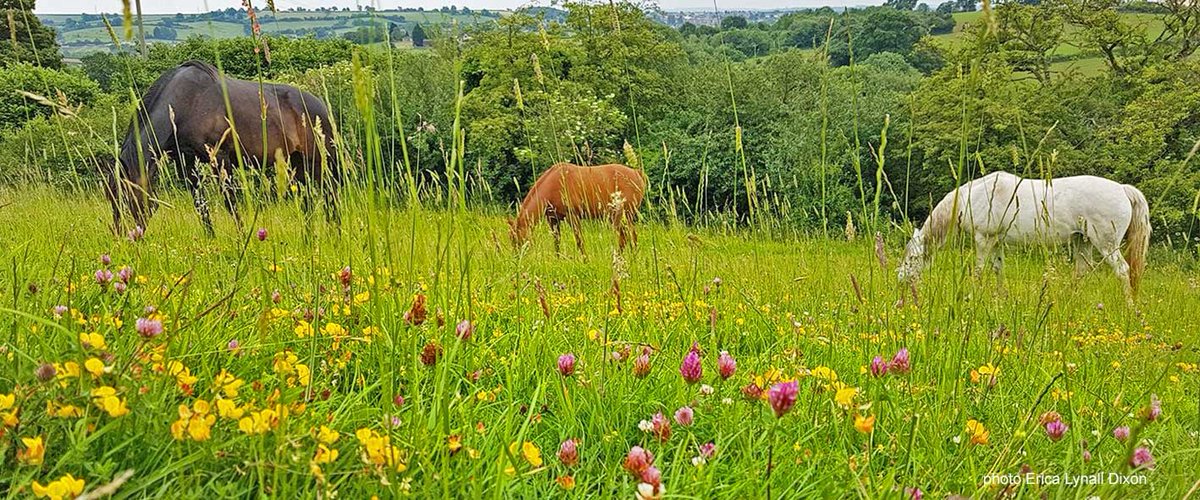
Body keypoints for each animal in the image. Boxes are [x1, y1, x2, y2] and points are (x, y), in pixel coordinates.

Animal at [104, 60, 339, 236]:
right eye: (111, 200)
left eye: (128, 199)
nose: (124, 239)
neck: (185, 104)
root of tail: (321, 107)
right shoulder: (187, 163)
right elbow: (200, 205)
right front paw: (211, 239)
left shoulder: (220, 158)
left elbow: (230, 203)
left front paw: (243, 238)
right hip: (296, 163)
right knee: (308, 199)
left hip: (319, 160)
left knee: (331, 194)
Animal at [509, 163, 646, 255]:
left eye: (518, 239)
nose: (517, 257)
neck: (554, 183)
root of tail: (637, 173)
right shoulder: (553, 219)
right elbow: (556, 241)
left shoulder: (573, 216)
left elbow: (579, 240)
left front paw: (585, 260)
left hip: (623, 214)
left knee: (628, 236)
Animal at [897, 171, 1151, 297]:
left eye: (911, 258)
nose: (900, 279)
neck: (973, 196)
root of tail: (1122, 189)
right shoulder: (996, 242)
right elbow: (998, 270)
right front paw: (1001, 299)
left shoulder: (983, 239)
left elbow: (978, 271)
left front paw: (972, 296)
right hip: (1084, 241)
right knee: (1081, 272)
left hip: (1106, 244)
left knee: (1123, 271)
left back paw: (1129, 307)